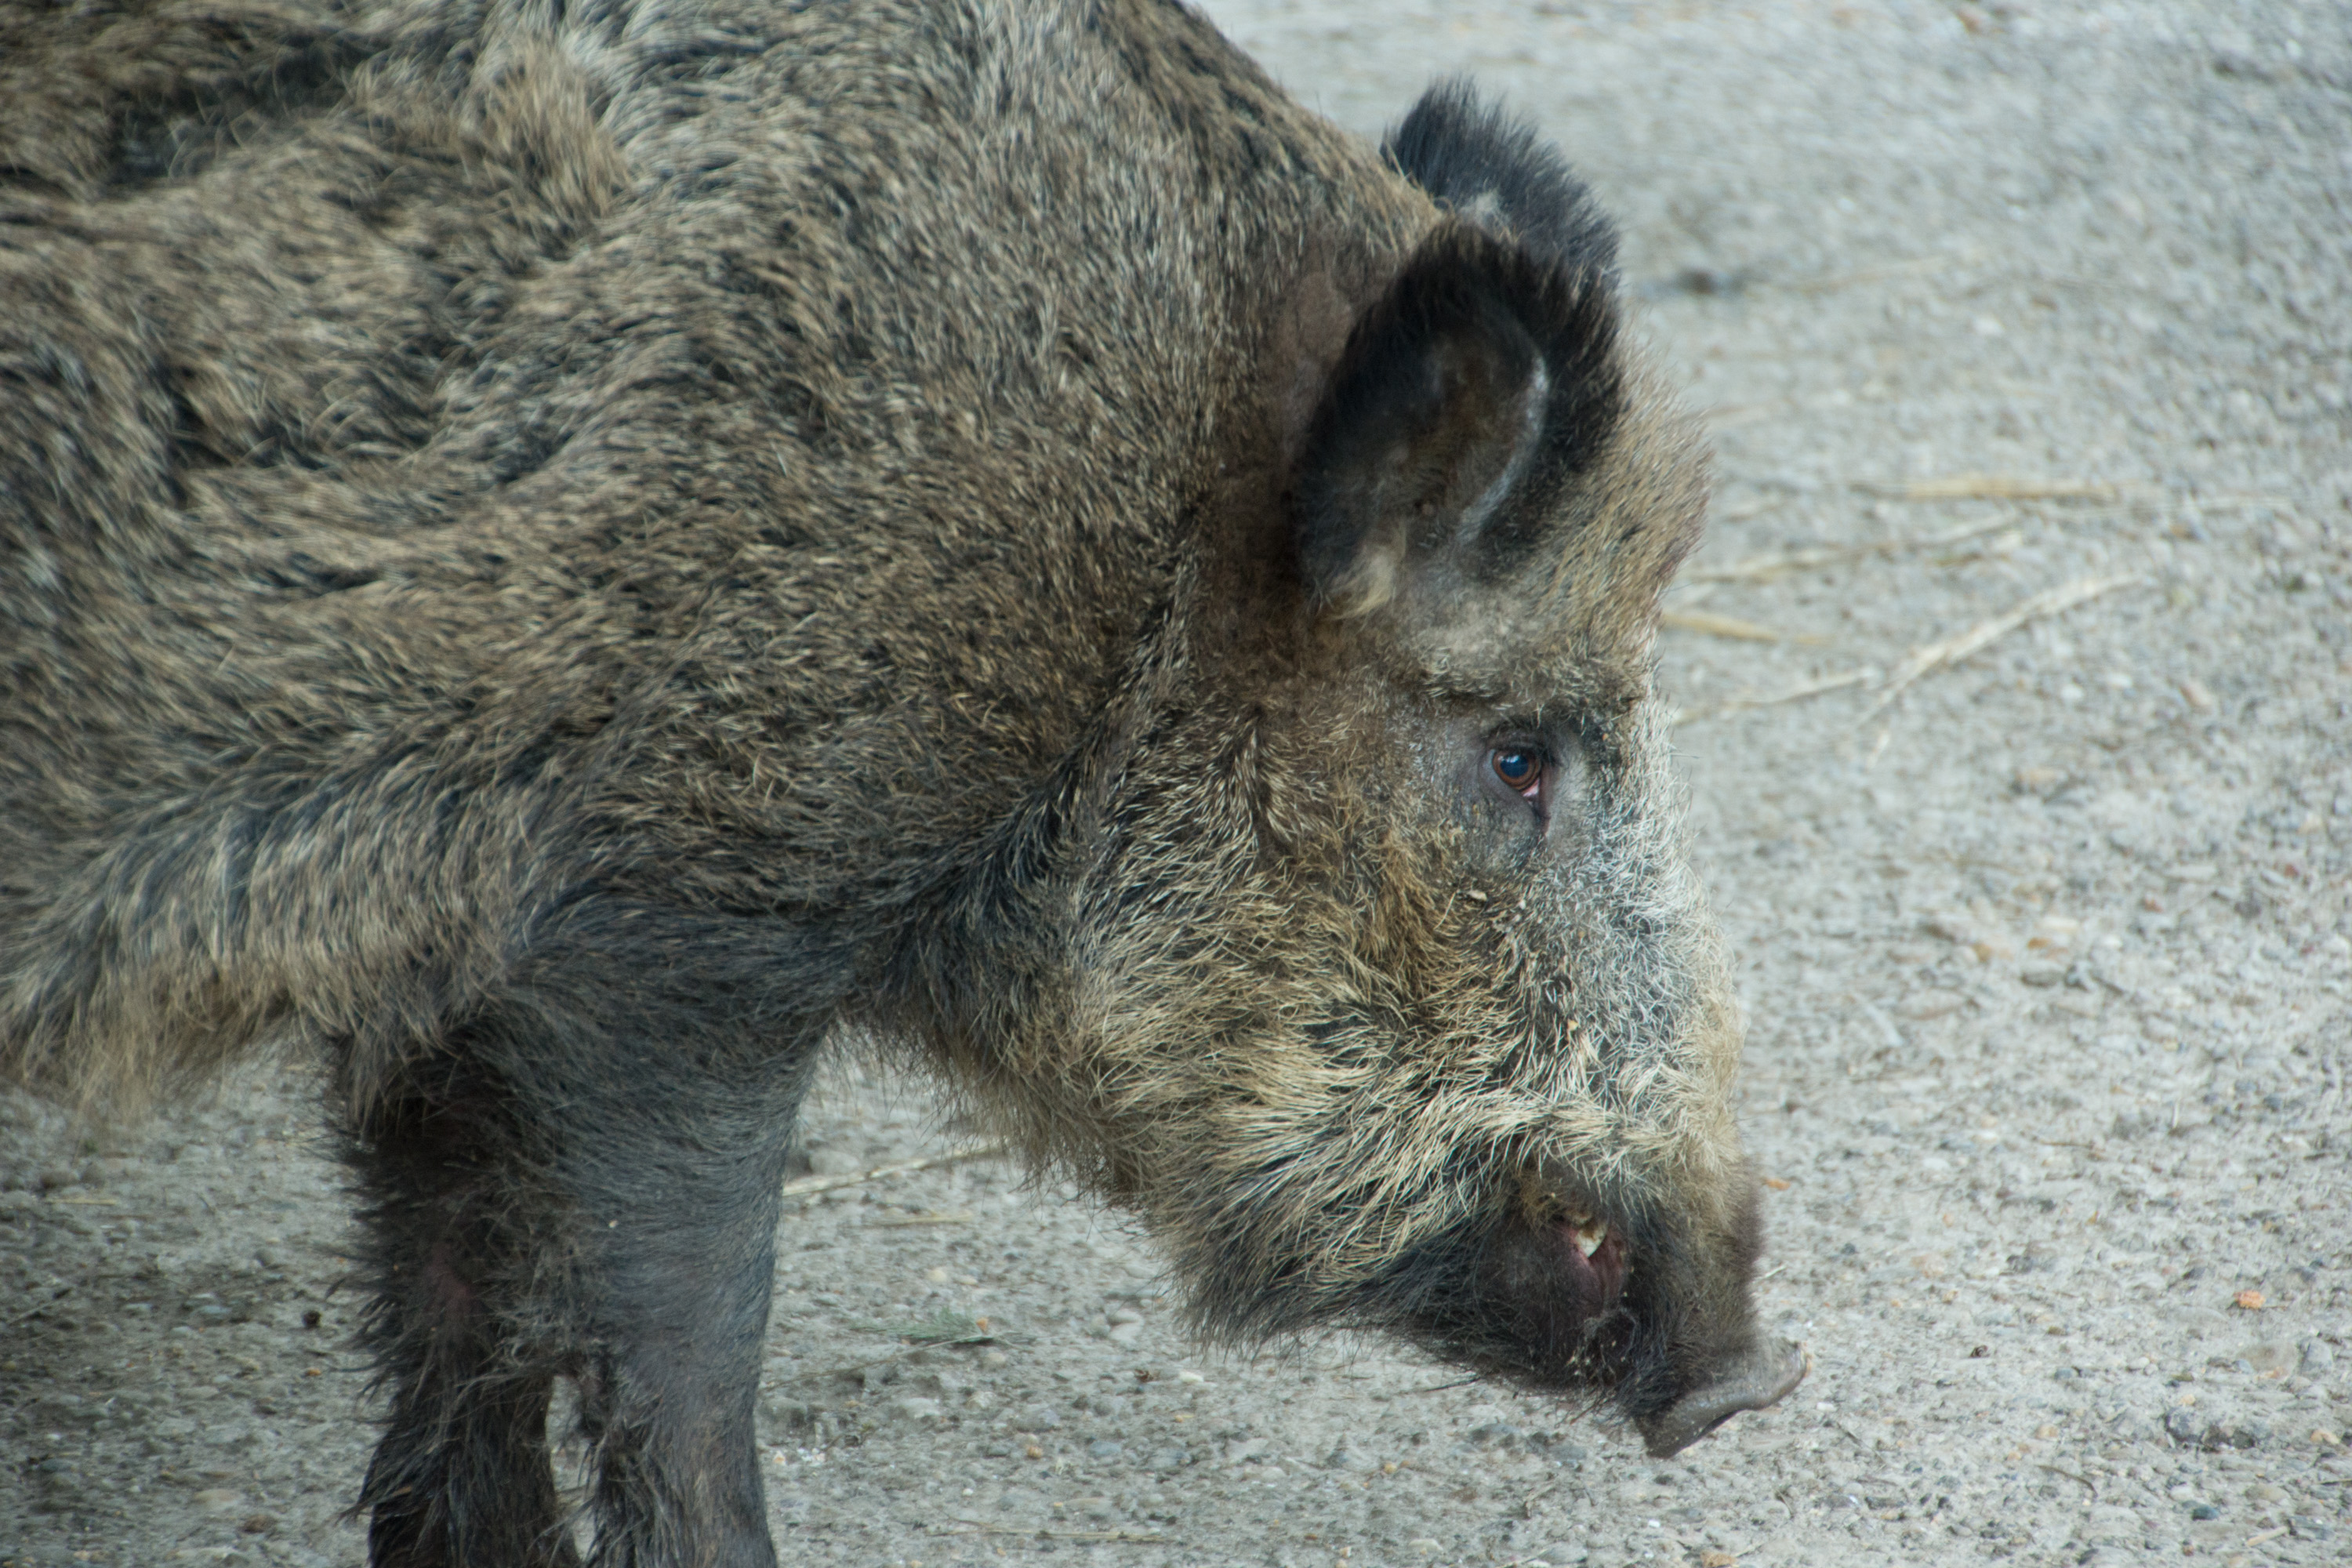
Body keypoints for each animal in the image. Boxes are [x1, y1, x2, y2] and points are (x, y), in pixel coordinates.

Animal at [0, 0, 1806, 1561]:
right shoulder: (687, 919)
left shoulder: (439, 966)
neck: (1109, 579)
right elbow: (680, 1331)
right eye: (1519, 759)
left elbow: (449, 1303)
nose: (1750, 1378)